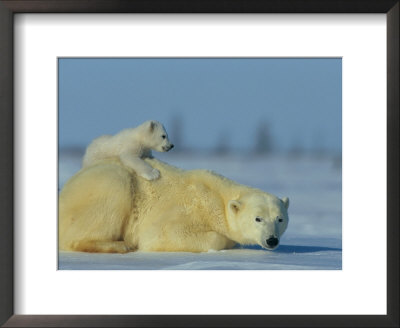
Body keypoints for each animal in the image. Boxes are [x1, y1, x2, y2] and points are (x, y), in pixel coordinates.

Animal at [59, 159, 290, 254]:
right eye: (258, 218)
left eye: (280, 219)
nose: (271, 240)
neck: (216, 196)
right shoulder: (187, 208)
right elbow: (164, 234)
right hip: (109, 186)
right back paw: (119, 246)